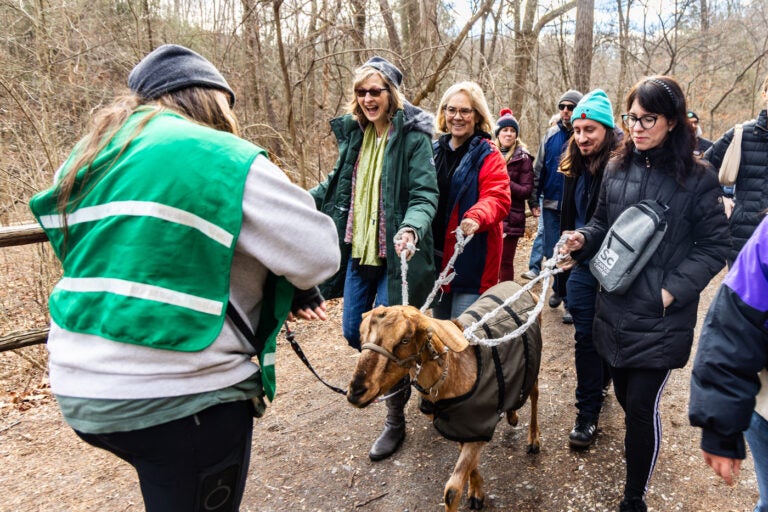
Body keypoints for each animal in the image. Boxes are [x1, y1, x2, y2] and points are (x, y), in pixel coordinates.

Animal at [344, 282, 544, 510]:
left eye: (404, 340)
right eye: (361, 337)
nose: (356, 392)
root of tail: (516, 284)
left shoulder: (479, 425)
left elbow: (452, 491)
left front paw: (474, 494)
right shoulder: (462, 427)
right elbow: (470, 465)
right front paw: (476, 490)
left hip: (535, 360)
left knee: (535, 393)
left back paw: (533, 440)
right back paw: (511, 415)